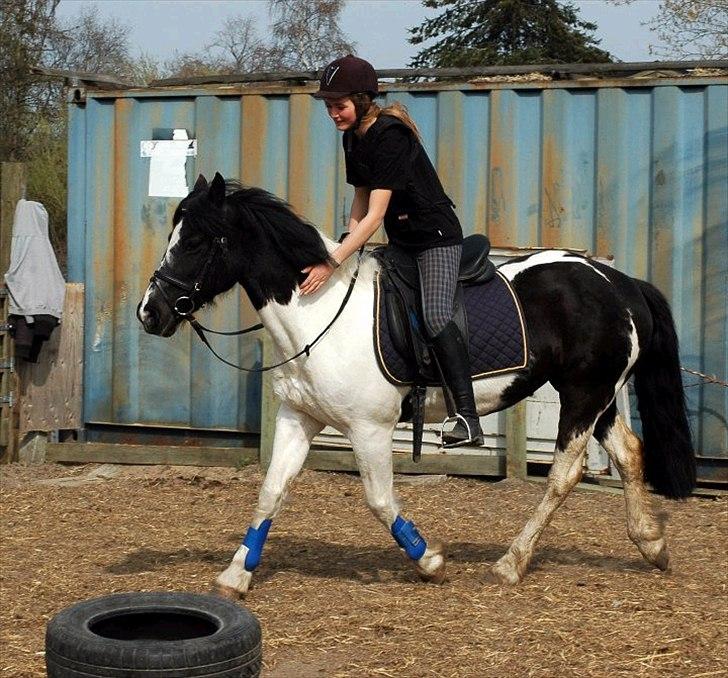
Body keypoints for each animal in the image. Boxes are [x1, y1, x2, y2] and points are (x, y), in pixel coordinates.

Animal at [135, 173, 692, 596]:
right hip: (598, 397)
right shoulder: (300, 418)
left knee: (564, 473)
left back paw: (511, 562)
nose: (150, 312)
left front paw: (430, 561)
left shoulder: (370, 429)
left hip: (582, 393)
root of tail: (619, 282)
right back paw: (652, 544)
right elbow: (271, 492)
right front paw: (236, 574)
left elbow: (380, 501)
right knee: (629, 452)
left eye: (196, 241)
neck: (317, 313)